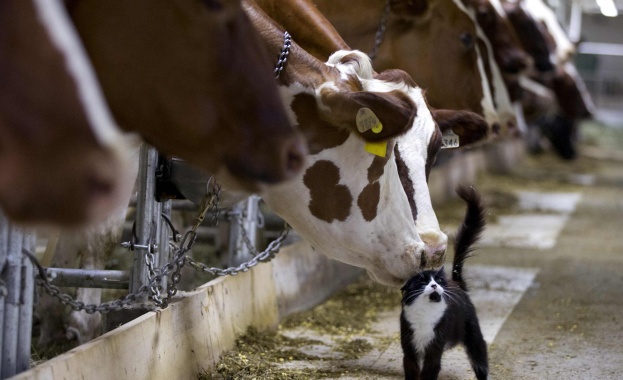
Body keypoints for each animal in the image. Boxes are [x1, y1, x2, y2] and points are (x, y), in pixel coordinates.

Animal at [402, 185, 490, 380]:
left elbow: (429, 371)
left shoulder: (434, 349)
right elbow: (411, 370)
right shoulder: (409, 348)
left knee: (480, 358)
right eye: (422, 281)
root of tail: (457, 284)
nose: (435, 285)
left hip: (473, 335)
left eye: (439, 280)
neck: (425, 314)